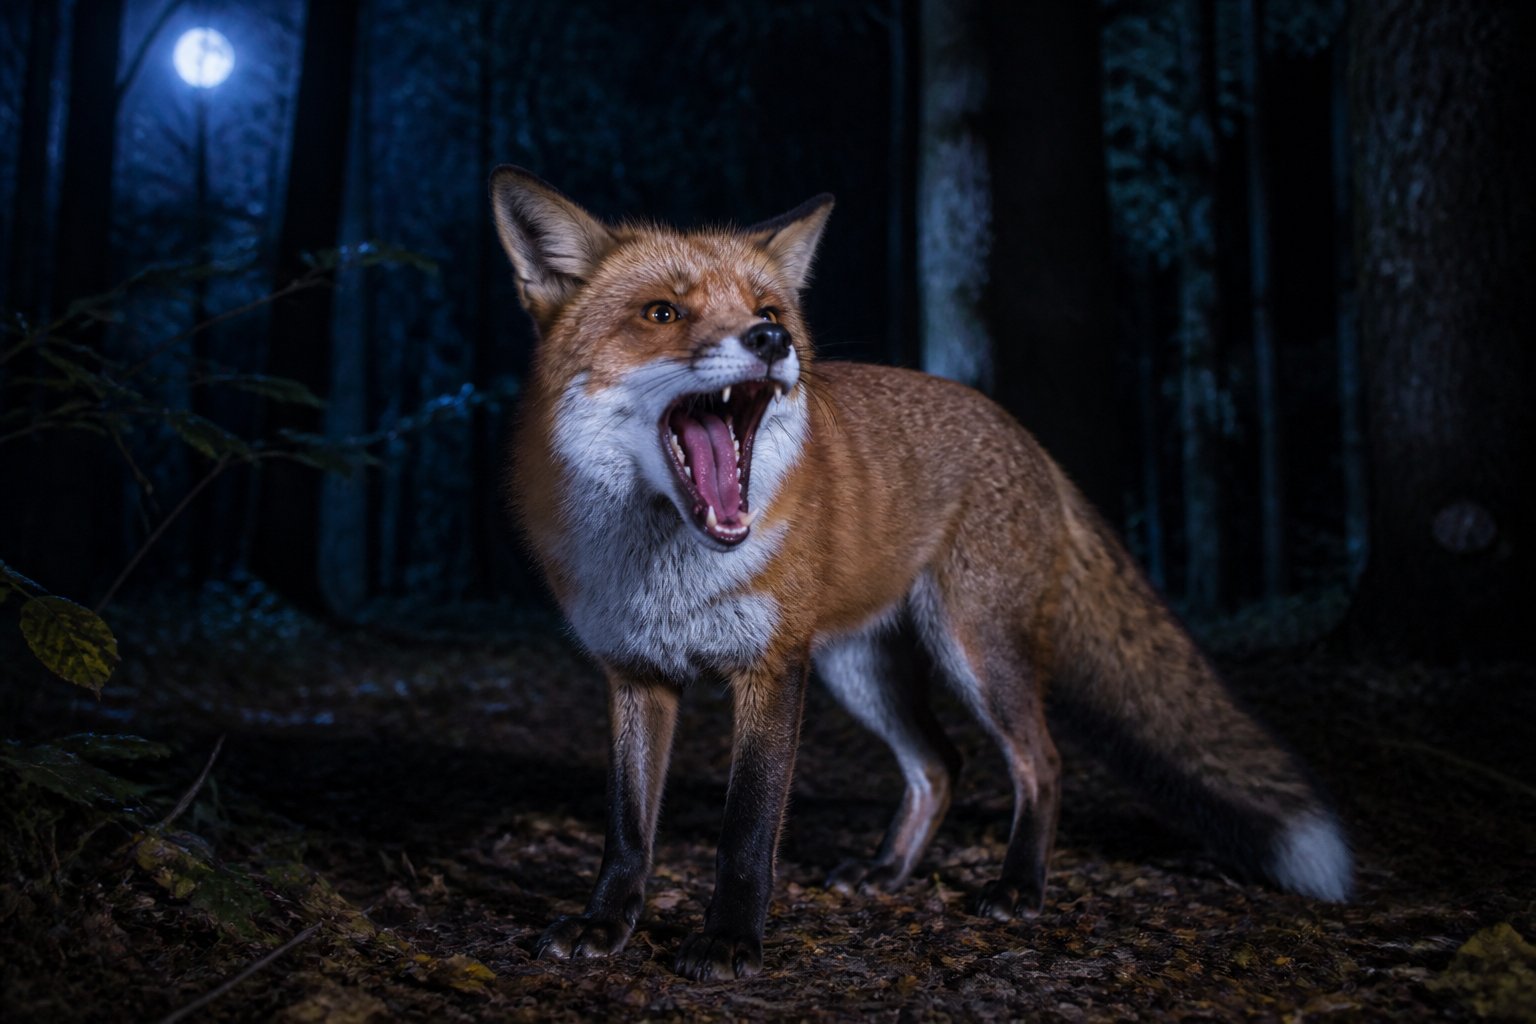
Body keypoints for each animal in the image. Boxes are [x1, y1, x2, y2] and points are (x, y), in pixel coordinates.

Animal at [488, 166, 1352, 982]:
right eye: (663, 313)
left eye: (771, 311)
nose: (770, 342)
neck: (670, 573)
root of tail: (1022, 436)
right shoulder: (636, 672)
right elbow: (628, 830)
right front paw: (606, 925)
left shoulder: (772, 668)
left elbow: (748, 828)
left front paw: (731, 940)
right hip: (860, 668)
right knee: (940, 765)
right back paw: (889, 872)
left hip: (972, 651)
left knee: (1040, 762)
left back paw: (1018, 887)